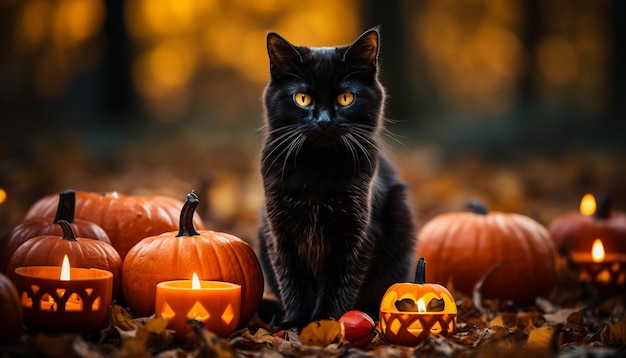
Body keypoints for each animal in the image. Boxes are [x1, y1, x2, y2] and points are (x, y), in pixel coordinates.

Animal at [256, 28, 416, 330]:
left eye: (345, 98)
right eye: (302, 99)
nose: (323, 121)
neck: (318, 168)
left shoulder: (357, 234)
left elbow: (340, 282)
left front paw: (325, 322)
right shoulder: (280, 234)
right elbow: (293, 282)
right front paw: (296, 322)